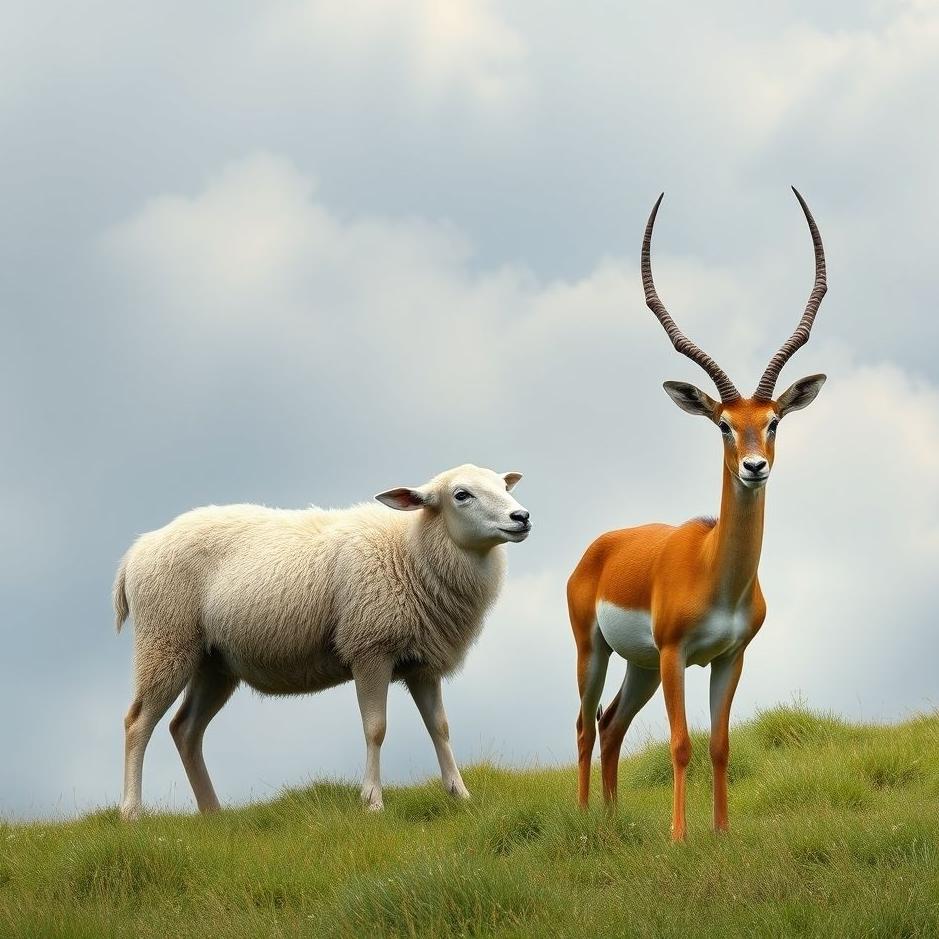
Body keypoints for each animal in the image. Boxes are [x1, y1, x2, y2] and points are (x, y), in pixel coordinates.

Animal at [113, 464, 531, 819]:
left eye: (504, 486)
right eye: (461, 494)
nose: (522, 517)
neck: (410, 552)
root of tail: (136, 550)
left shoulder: (422, 665)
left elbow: (440, 727)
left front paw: (461, 794)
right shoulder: (369, 649)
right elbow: (375, 728)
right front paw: (372, 802)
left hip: (214, 663)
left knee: (185, 730)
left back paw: (213, 814)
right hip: (166, 641)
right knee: (138, 722)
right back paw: (132, 814)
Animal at [568, 188, 828, 840]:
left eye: (774, 421)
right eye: (723, 424)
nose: (755, 468)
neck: (716, 574)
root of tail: (600, 547)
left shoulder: (728, 657)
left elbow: (719, 746)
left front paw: (721, 833)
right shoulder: (676, 654)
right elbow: (682, 744)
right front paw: (679, 837)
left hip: (639, 666)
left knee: (611, 724)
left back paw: (611, 820)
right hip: (598, 651)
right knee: (584, 723)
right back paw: (583, 821)